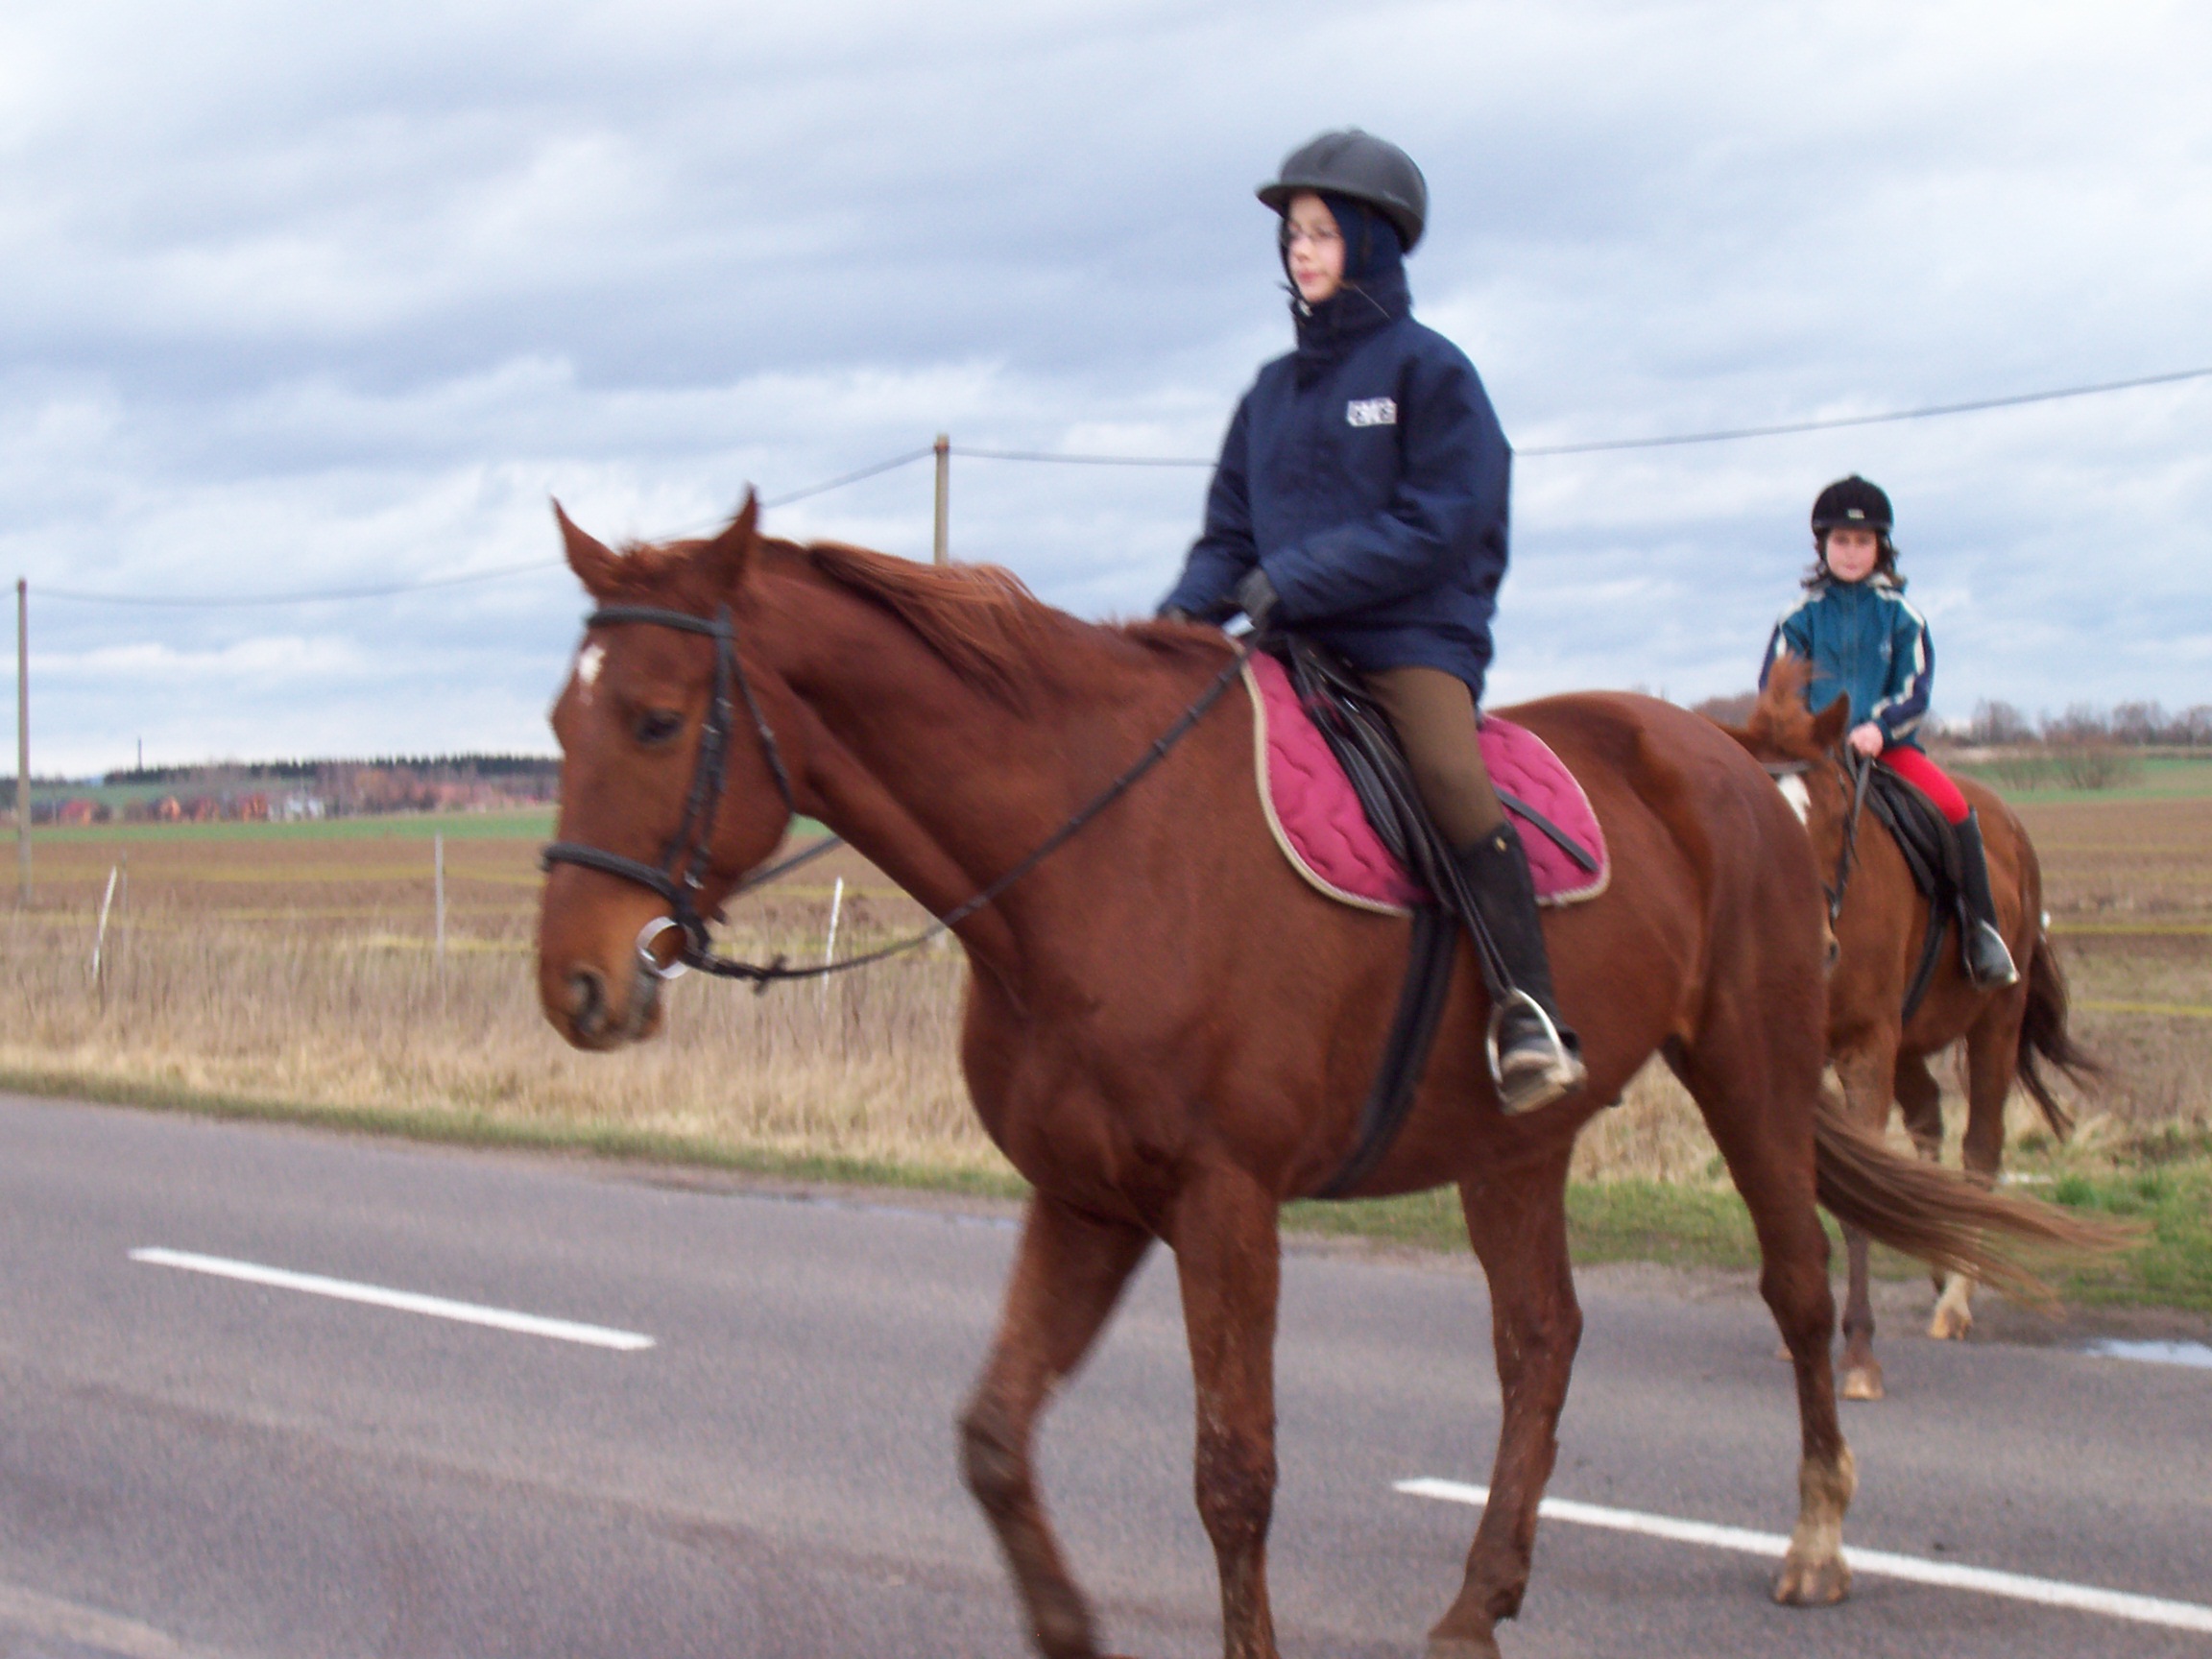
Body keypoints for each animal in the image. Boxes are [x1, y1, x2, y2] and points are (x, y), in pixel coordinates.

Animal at [1716, 663, 2097, 1407]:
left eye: (1838, 813)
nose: (1811, 943)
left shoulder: (1867, 1045)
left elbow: (1860, 1206)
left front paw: (1860, 1356)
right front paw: (1798, 1334)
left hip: (1992, 1026)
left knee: (1980, 1150)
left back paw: (1956, 1301)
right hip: (1913, 1043)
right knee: (1927, 1125)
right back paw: (1942, 1257)